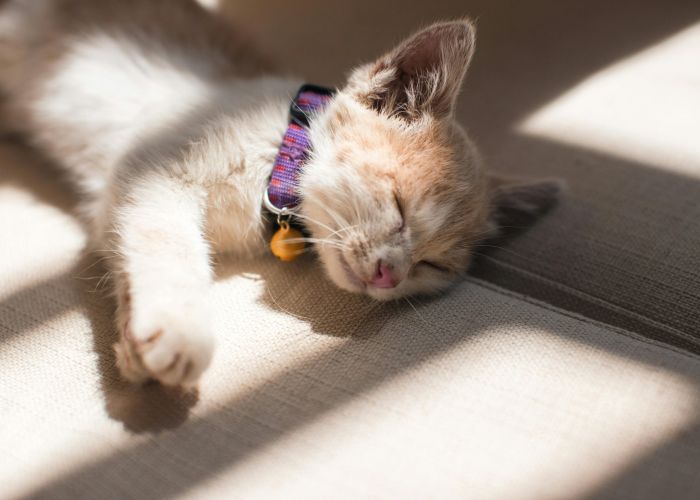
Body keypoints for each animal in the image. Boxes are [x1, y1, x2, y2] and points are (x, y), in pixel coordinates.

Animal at [0, 0, 556, 386]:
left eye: (433, 265)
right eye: (399, 207)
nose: (389, 274)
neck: (274, 161)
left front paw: (137, 347)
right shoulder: (147, 170)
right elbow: (169, 245)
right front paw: (180, 332)